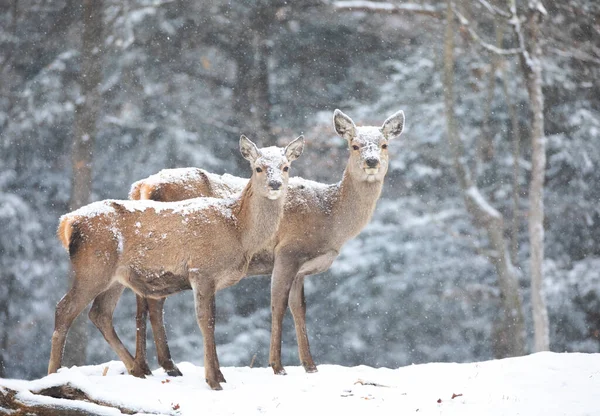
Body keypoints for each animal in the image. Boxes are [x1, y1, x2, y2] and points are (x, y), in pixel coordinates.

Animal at [47, 134, 304, 390]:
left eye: (285, 167)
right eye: (258, 168)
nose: (275, 184)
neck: (238, 230)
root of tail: (66, 222)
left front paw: (219, 376)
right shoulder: (202, 269)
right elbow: (206, 321)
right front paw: (214, 380)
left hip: (115, 277)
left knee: (100, 313)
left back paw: (137, 369)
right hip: (93, 267)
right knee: (64, 308)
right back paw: (53, 375)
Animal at [127, 109, 408, 376]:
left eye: (384, 144)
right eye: (355, 145)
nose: (371, 161)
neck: (330, 217)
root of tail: (142, 186)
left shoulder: (302, 268)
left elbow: (299, 308)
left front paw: (310, 365)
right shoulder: (289, 250)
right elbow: (278, 305)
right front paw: (277, 365)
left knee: (143, 301)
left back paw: (147, 366)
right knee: (154, 303)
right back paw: (167, 366)